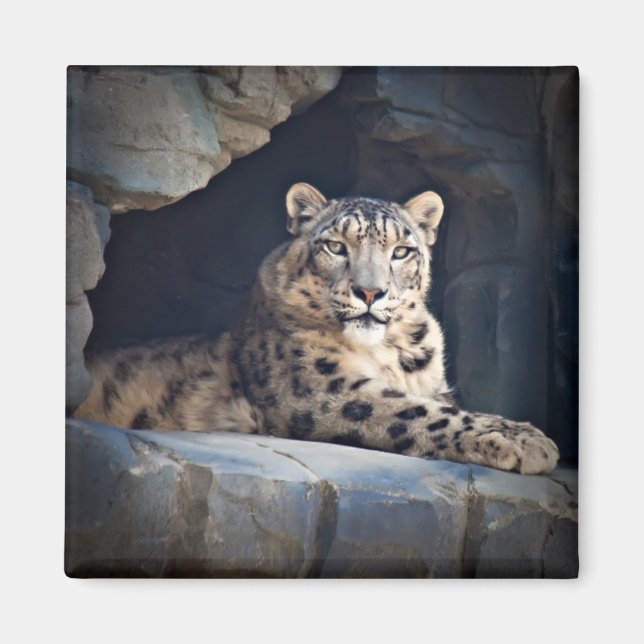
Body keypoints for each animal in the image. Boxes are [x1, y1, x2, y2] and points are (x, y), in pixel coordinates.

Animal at [75, 182, 560, 474]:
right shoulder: (320, 389)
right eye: (335, 246)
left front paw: (523, 433)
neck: (389, 352)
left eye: (402, 251)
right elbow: (419, 412)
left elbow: (446, 406)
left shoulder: (434, 386)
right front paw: (530, 441)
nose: (370, 292)